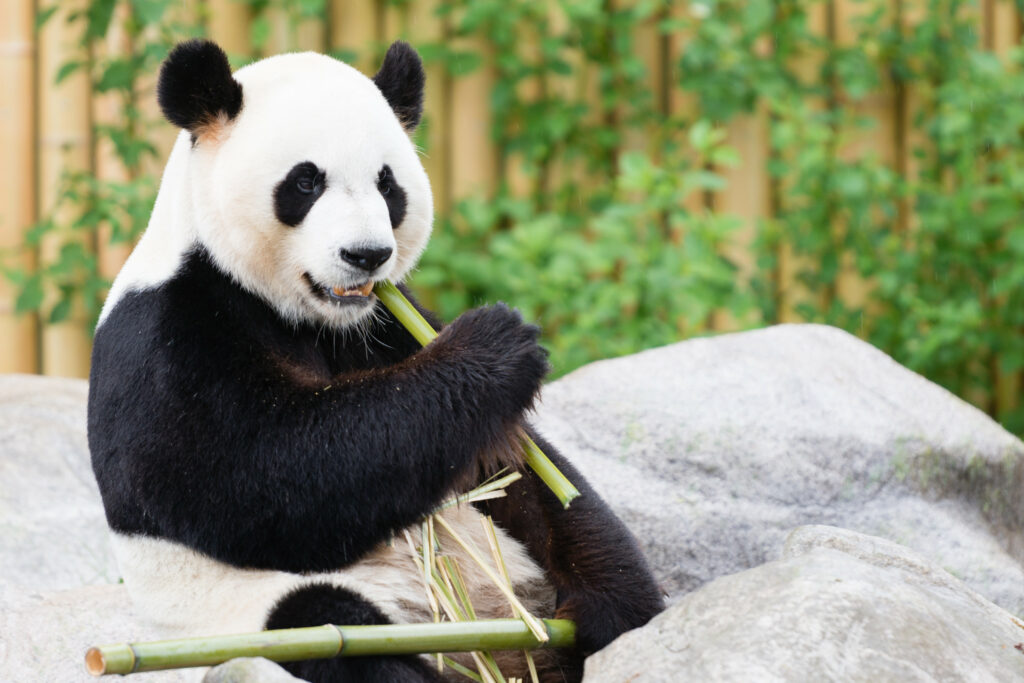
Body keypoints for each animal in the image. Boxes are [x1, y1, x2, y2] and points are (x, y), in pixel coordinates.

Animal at [88, 38, 663, 682]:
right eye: (305, 182)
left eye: (388, 186)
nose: (366, 255)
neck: (306, 314)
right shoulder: (171, 335)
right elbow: (264, 472)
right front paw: (497, 345)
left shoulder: (385, 324)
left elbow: (511, 469)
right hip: (252, 612)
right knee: (331, 630)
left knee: (578, 539)